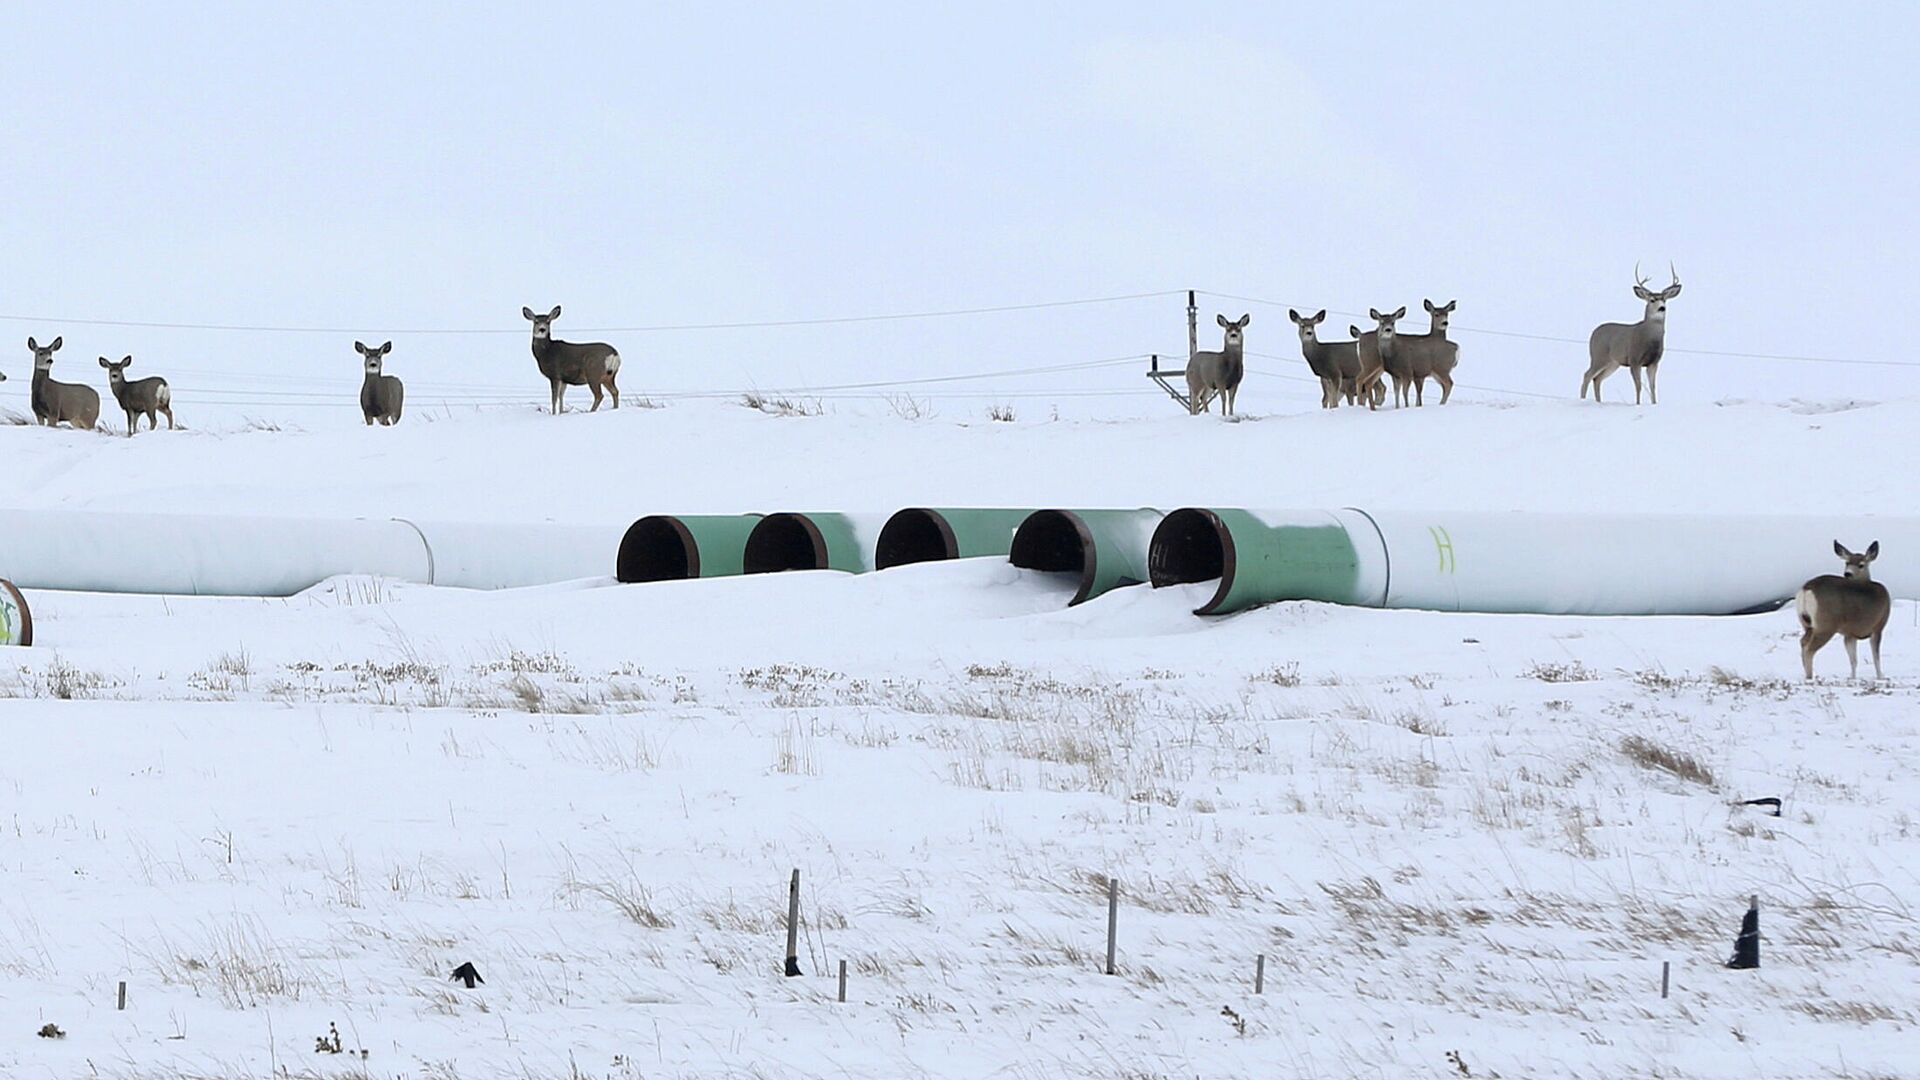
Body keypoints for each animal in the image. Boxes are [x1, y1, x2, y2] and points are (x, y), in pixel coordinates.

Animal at [1589, 263, 1681, 401]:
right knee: (1587, 375)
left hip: (1613, 363)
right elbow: (1638, 386)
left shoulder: (1653, 362)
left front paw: (1654, 403)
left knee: (1597, 379)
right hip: (1599, 356)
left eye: (1664, 299)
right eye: (1652, 300)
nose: (1662, 308)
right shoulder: (1634, 359)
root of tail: (1593, 333)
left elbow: (1652, 387)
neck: (1649, 338)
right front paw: (1637, 403)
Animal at [1797, 538, 1889, 680]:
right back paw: (1810, 676)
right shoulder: (1878, 626)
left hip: (1806, 623)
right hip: (1826, 625)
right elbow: (1875, 657)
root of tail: (1806, 589)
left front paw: (1852, 678)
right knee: (1809, 649)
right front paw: (1881, 677)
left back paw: (1807, 675)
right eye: (1847, 562)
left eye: (1861, 565)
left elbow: (1853, 660)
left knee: (1802, 642)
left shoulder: (1849, 633)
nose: (1847, 573)